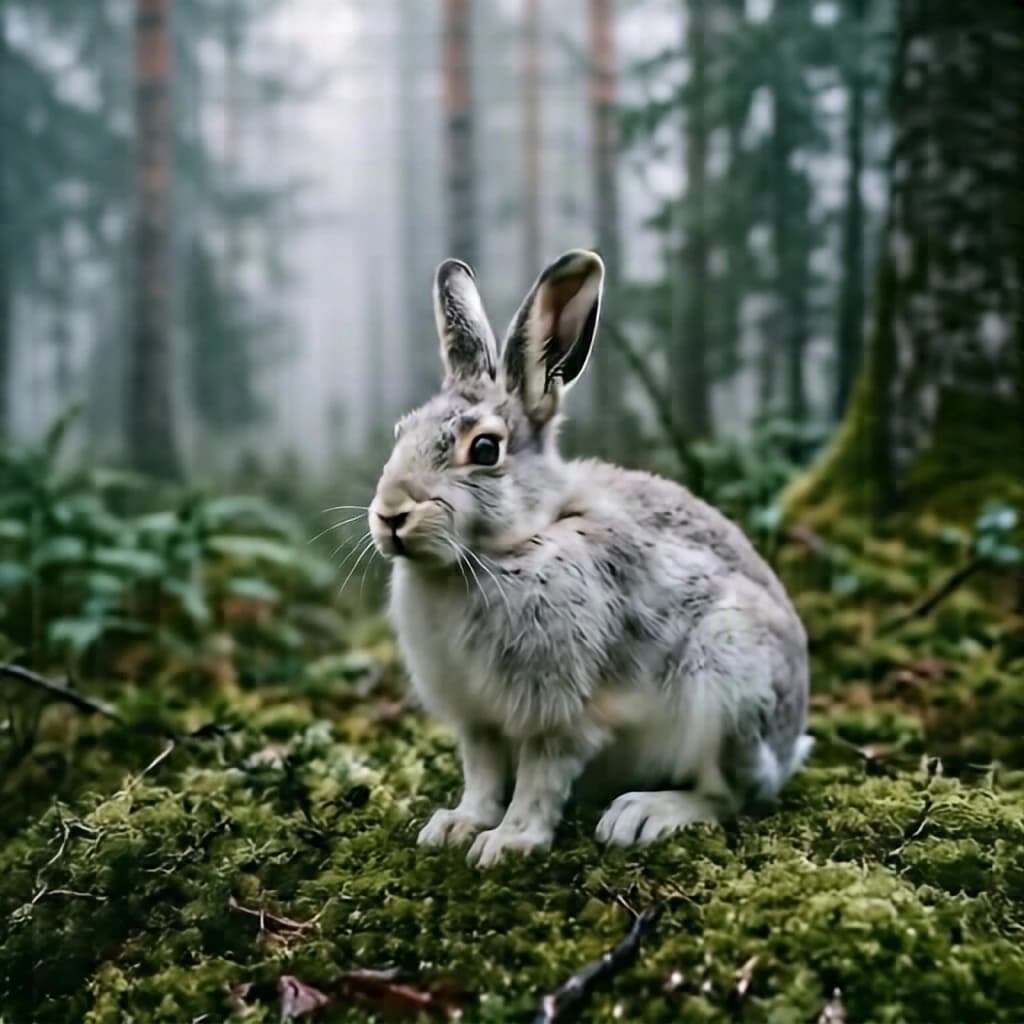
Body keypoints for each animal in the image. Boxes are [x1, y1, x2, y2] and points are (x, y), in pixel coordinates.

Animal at [368, 250, 813, 868]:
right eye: (400, 431)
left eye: (484, 449)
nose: (390, 514)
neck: (506, 549)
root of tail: (791, 743)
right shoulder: (477, 720)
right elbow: (482, 775)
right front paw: (456, 825)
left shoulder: (560, 714)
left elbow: (539, 779)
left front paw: (507, 843)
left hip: (729, 686)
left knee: (732, 796)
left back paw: (645, 813)